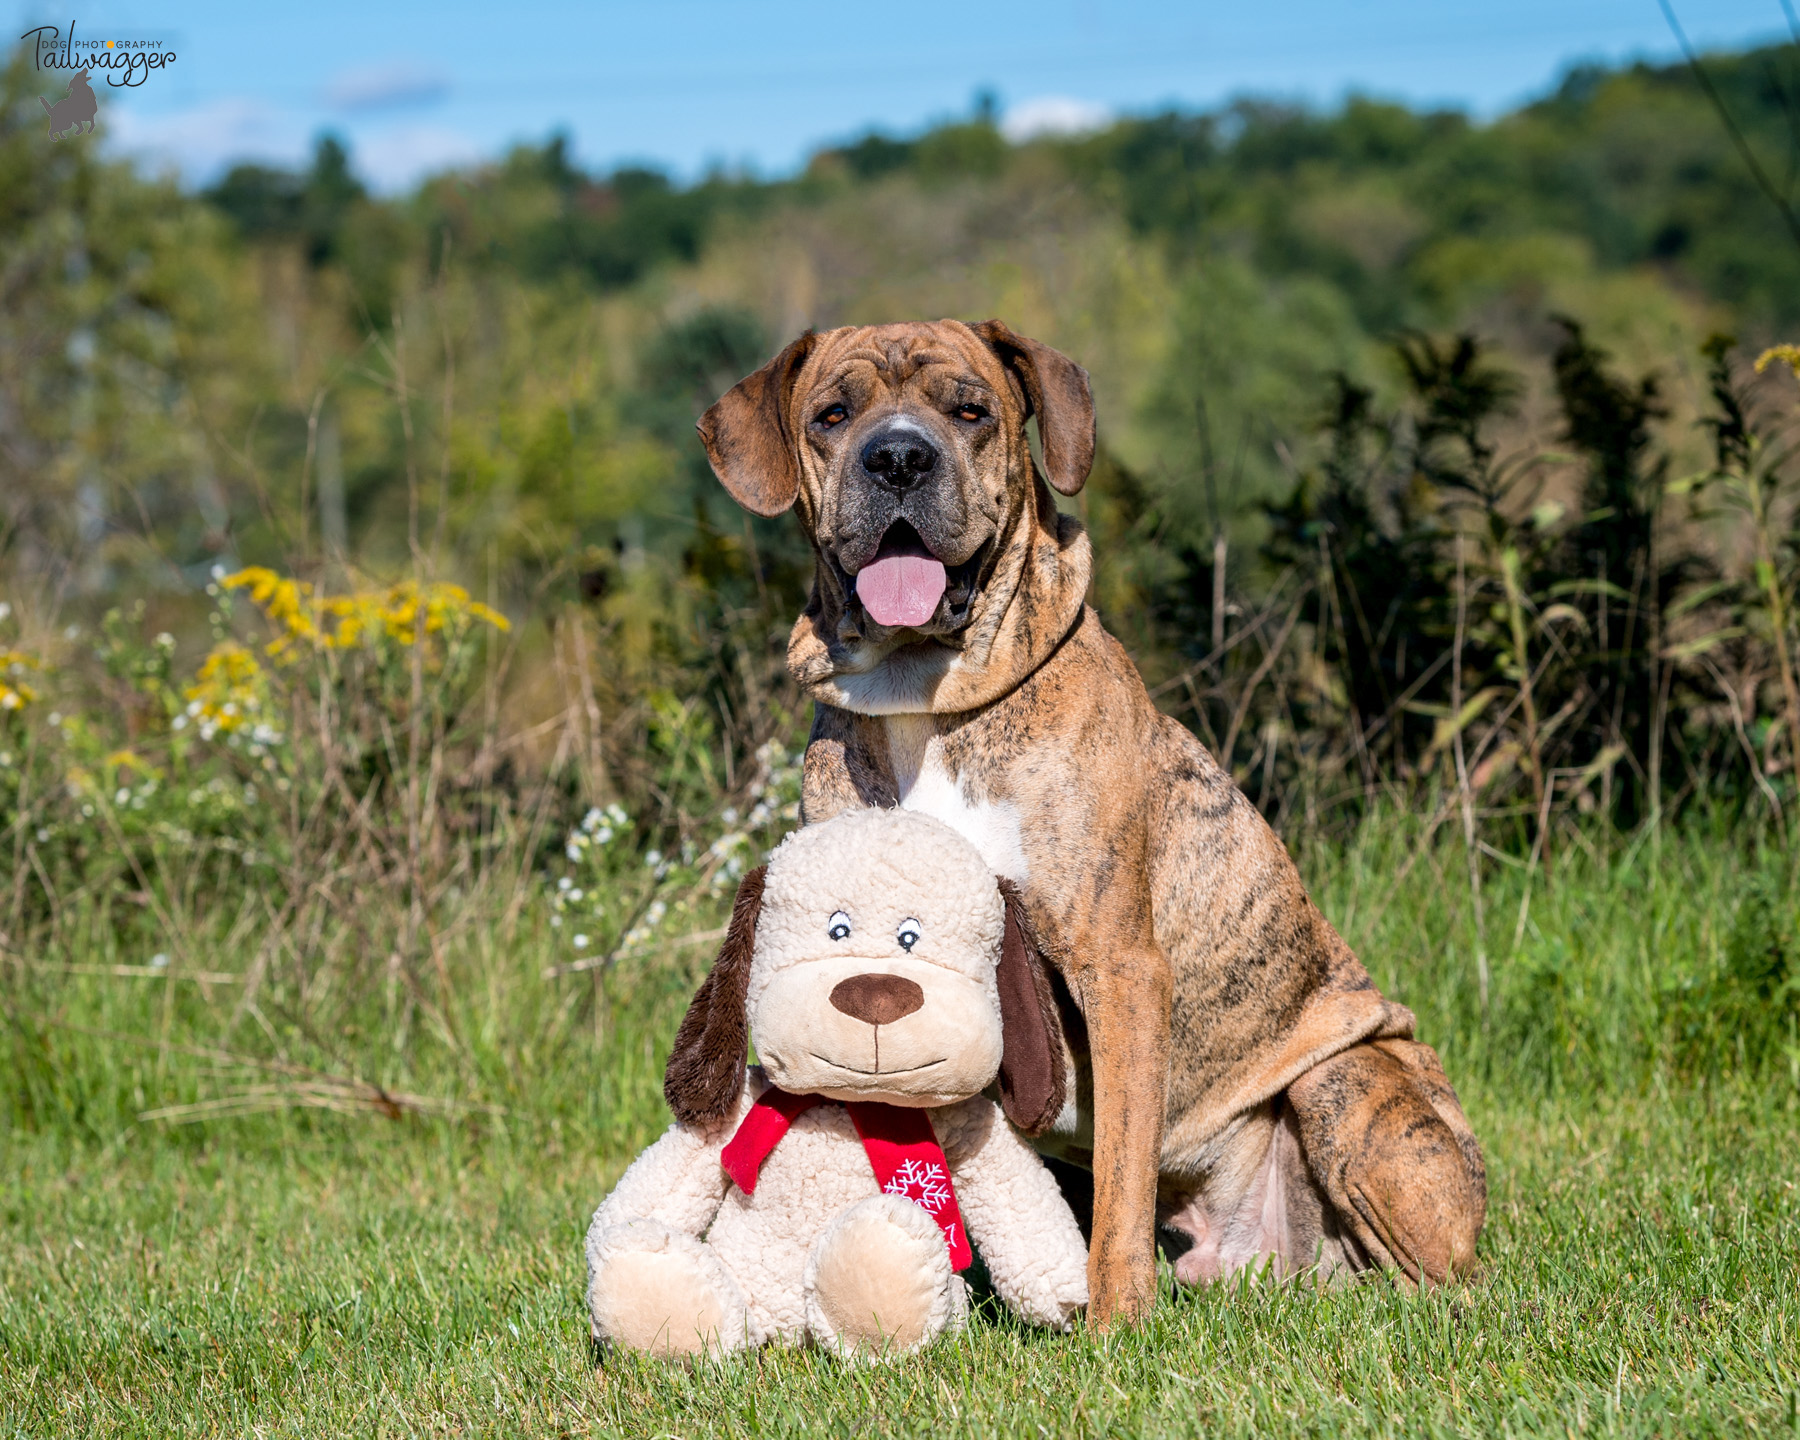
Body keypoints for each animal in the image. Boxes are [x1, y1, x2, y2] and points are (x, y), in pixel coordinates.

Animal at [694, 318, 1483, 1324]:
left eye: (971, 411)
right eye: (832, 415)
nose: (899, 458)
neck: (922, 696)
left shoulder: (1118, 967)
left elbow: (1119, 1179)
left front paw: (1115, 1321)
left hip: (1349, 1085)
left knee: (1446, 1278)